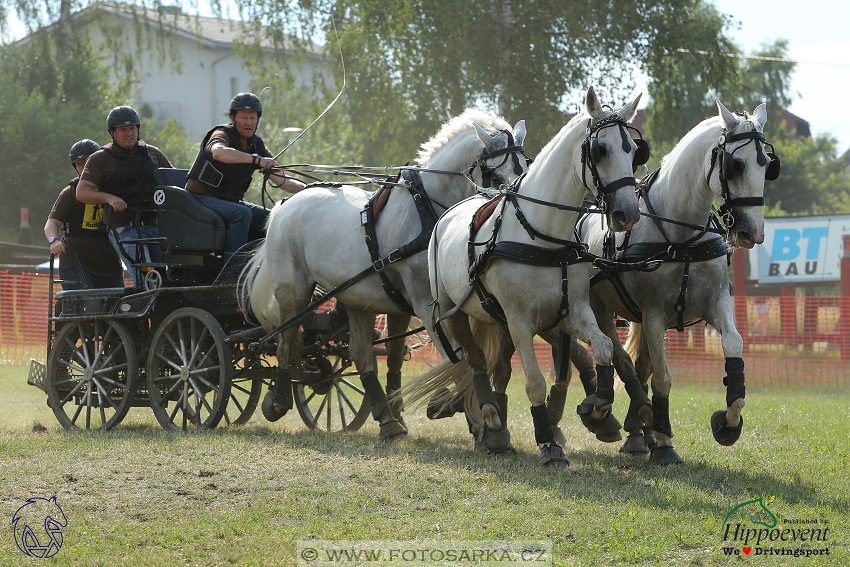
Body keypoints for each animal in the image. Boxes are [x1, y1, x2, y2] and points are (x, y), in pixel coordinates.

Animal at [237, 108, 524, 442]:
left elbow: (408, 358)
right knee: (286, 341)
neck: (428, 212)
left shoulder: (412, 306)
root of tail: (284, 206)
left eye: (526, 167)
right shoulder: (428, 305)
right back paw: (278, 401)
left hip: (357, 299)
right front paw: (476, 419)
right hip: (292, 290)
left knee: (363, 354)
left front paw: (457, 411)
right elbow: (458, 356)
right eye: (497, 176)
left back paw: (388, 420)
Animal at [400, 87, 640, 466]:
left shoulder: (571, 313)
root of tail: (449, 214)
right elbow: (535, 382)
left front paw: (597, 408)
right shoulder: (519, 321)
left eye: (632, 150)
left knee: (497, 367)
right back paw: (490, 417)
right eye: (600, 150)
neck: (542, 235)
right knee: (474, 361)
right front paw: (548, 443)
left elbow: (602, 348)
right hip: (452, 313)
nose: (627, 213)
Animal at [568, 101, 776, 466]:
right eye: (735, 165)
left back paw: (639, 432)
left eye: (766, 164)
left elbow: (734, 347)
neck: (681, 236)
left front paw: (728, 423)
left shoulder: (716, 302)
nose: (752, 233)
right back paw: (634, 422)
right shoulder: (653, 314)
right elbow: (663, 378)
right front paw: (664, 441)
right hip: (601, 308)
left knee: (640, 365)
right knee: (622, 360)